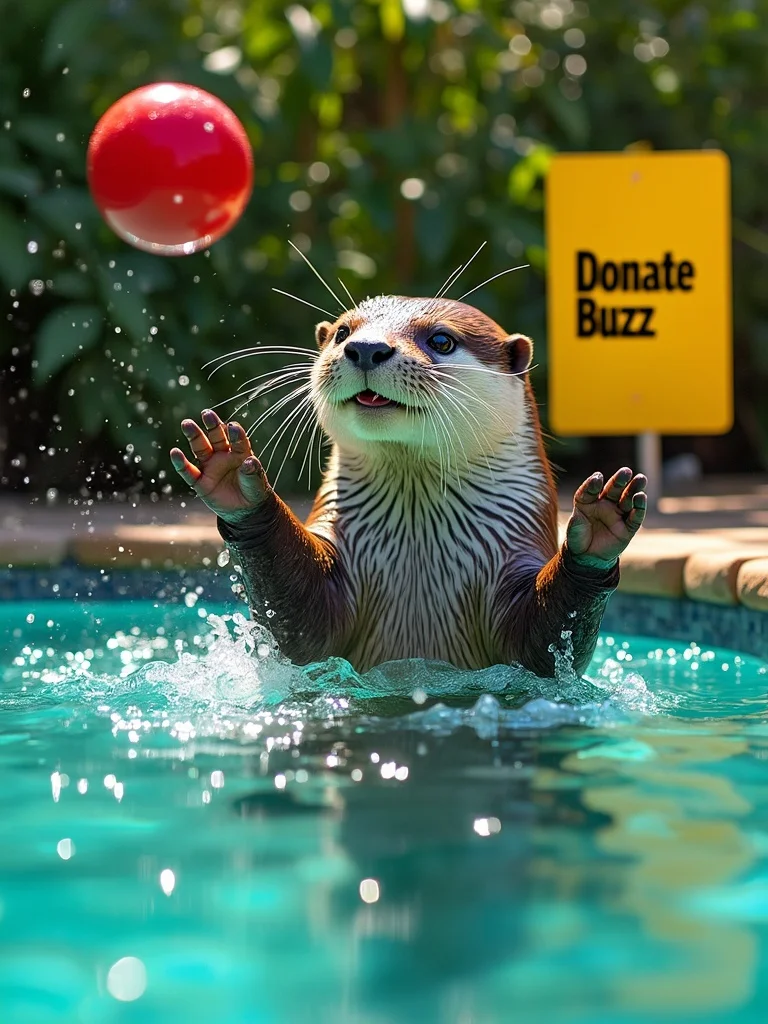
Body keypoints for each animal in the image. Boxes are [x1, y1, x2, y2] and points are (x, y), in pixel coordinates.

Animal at [170, 295, 646, 677]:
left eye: (441, 341)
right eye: (343, 332)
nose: (365, 348)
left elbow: (542, 649)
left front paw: (598, 527)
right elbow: (301, 629)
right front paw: (235, 477)